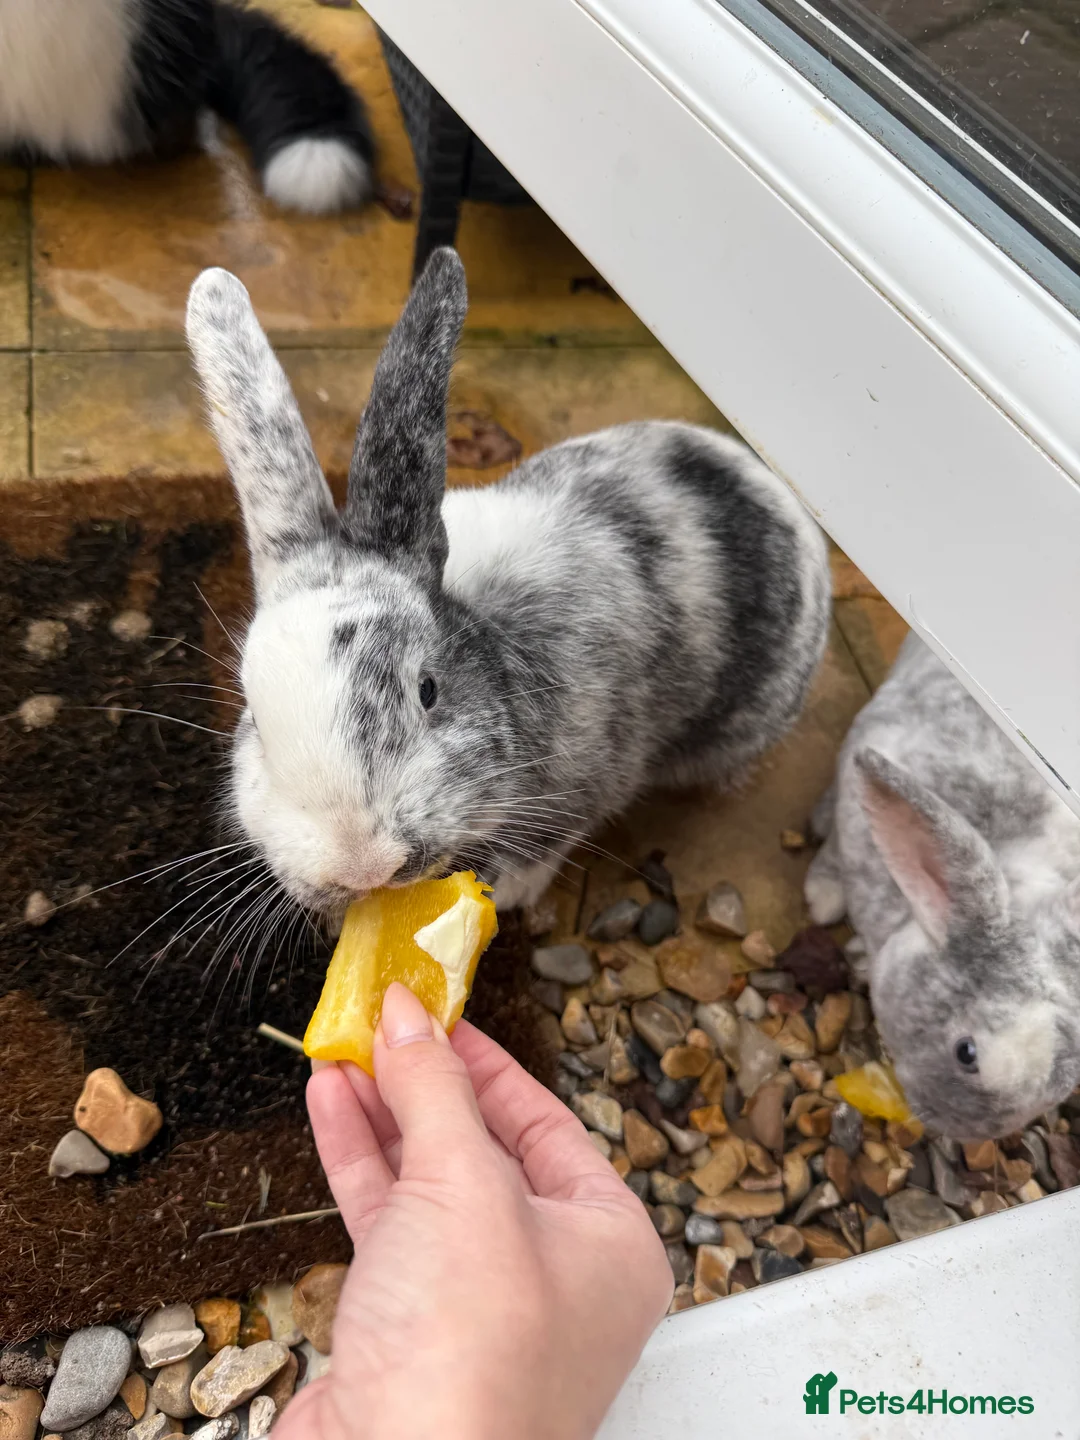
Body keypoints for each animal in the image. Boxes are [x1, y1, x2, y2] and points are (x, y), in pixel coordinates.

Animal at [184, 247, 831, 920]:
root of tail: (765, 478)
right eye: (255, 722)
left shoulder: (593, 771)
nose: (361, 864)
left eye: (428, 690)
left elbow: (551, 836)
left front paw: (513, 890)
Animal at [806, 631, 1080, 1139]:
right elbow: (834, 845)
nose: (961, 1134)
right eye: (966, 1053)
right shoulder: (858, 768)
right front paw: (824, 899)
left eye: (1066, 1083)